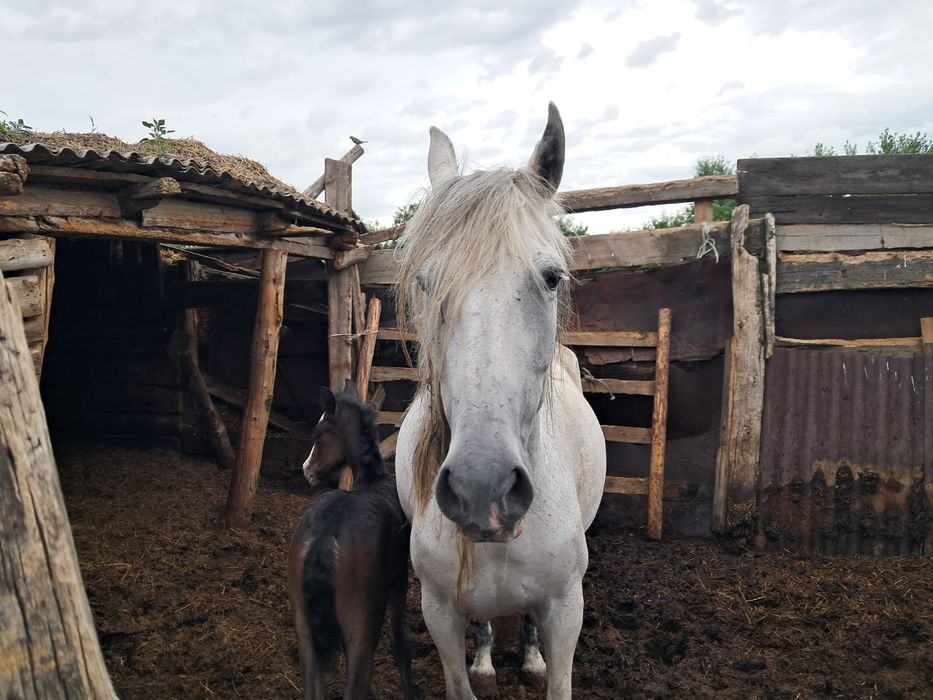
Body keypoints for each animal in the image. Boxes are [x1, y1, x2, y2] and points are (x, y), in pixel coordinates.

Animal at [287, 382, 414, 700]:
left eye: (318, 435)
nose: (306, 469)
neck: (372, 479)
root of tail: (324, 538)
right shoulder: (399, 578)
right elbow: (401, 643)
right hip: (362, 635)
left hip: (305, 634)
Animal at [393, 103, 606, 699]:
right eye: (426, 284)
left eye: (552, 278)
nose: (481, 487)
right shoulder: (439, 612)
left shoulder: (567, 609)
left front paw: (535, 663)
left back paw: (528, 658)